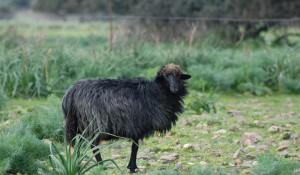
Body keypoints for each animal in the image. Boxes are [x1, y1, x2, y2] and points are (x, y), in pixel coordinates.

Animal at [62, 63, 191, 172]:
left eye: (178, 76)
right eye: (165, 76)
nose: (174, 88)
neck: (157, 92)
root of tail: (70, 93)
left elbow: (134, 147)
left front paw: (131, 167)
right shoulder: (138, 126)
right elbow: (135, 148)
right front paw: (132, 168)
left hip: (76, 124)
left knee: (77, 144)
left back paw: (78, 165)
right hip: (95, 124)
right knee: (93, 146)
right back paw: (101, 166)